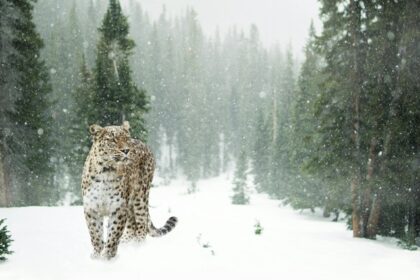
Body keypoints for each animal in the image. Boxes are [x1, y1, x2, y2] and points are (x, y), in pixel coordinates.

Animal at [81, 121, 177, 260]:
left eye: (126, 138)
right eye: (112, 140)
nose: (126, 150)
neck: (106, 172)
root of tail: (144, 144)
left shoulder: (119, 208)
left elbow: (114, 234)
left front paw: (107, 256)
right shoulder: (92, 208)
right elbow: (95, 234)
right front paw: (97, 255)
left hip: (140, 197)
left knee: (141, 224)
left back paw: (138, 247)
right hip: (131, 204)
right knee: (132, 226)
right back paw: (126, 243)